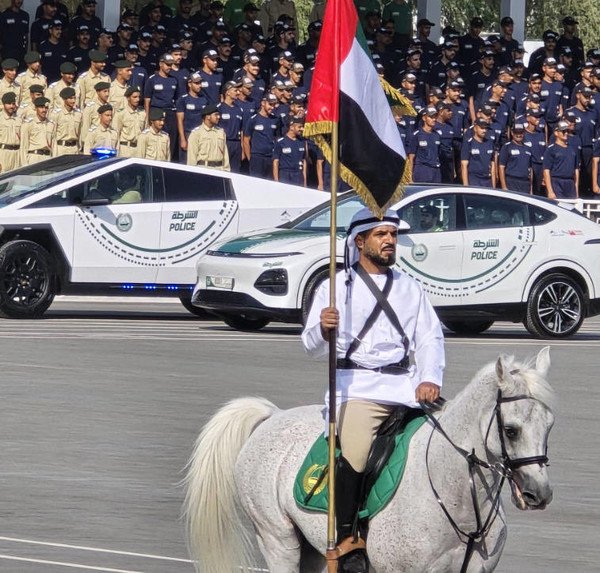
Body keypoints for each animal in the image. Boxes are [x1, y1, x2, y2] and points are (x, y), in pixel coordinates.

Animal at [185, 346, 556, 568]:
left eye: (549, 425)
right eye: (510, 430)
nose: (538, 494)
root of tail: (272, 416)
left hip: (313, 549)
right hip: (278, 540)